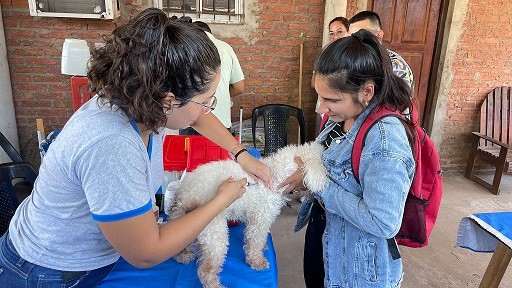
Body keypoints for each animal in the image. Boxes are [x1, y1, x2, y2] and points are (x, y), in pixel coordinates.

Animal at [168, 142, 328, 288]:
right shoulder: (260, 220)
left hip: (185, 223)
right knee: (205, 271)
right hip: (214, 232)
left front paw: (262, 248)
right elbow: (256, 240)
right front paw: (257, 261)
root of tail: (185, 195)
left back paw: (184, 255)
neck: (276, 175)